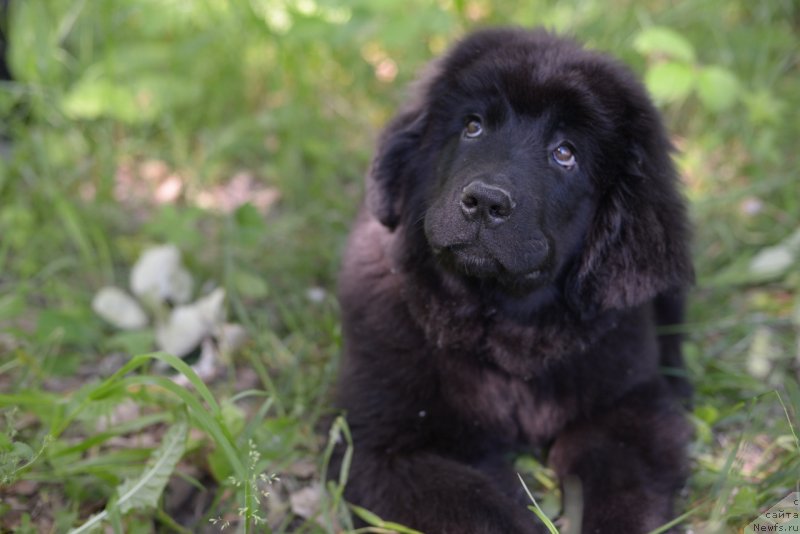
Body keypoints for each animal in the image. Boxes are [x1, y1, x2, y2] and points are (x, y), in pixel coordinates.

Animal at [334, 27, 692, 532]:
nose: (485, 201)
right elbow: (476, 505)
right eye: (473, 127)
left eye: (565, 153)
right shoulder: (379, 445)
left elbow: (621, 482)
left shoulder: (627, 407)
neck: (501, 321)